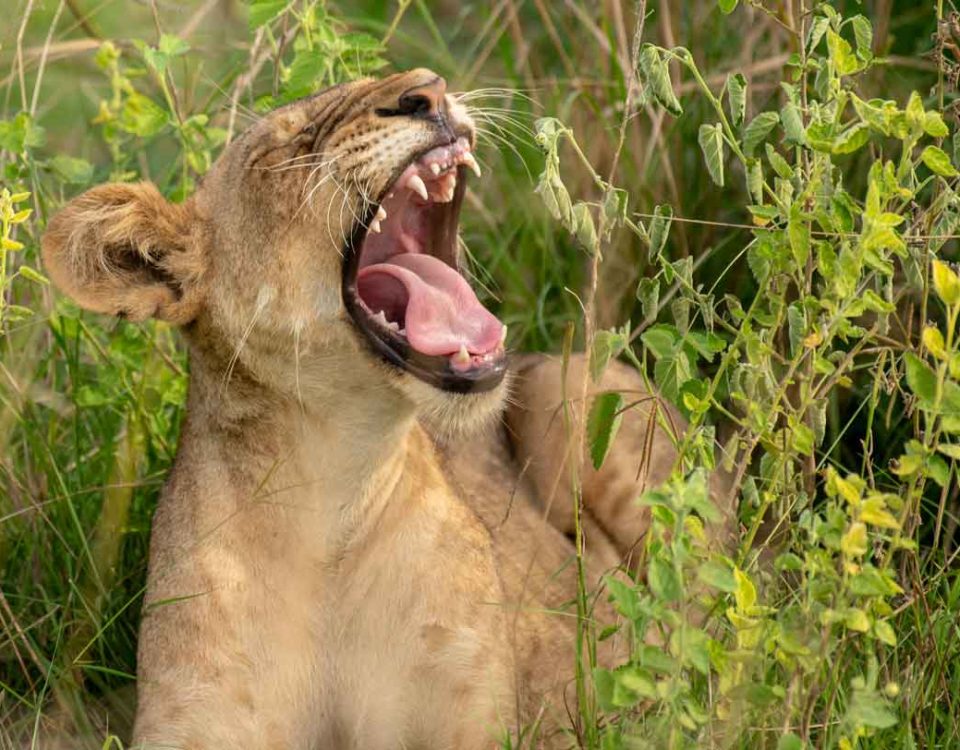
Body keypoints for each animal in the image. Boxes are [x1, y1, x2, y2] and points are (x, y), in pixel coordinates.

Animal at [41, 69, 733, 749]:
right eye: (283, 149)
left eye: (415, 81)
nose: (427, 91)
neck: (333, 497)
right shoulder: (193, 718)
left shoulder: (471, 713)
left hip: (568, 385)